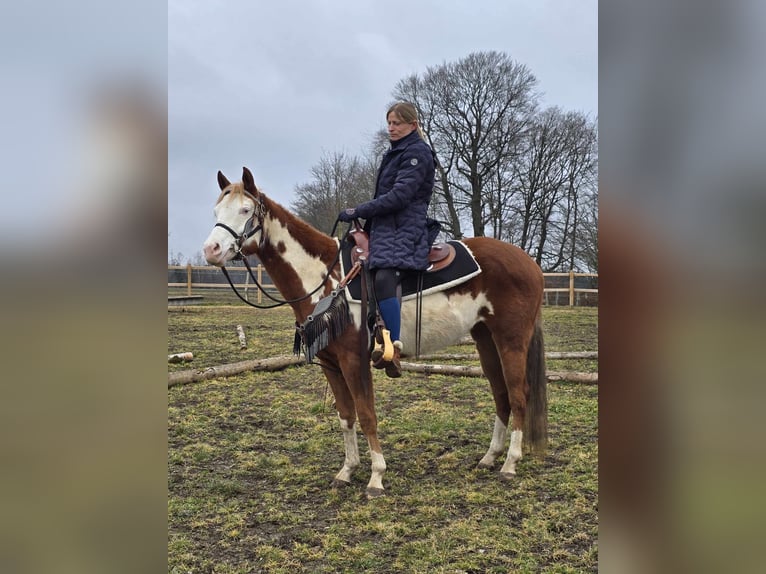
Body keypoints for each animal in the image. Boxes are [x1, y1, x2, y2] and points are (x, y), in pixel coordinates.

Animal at [201, 166, 548, 500]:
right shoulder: (331, 364)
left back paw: (510, 463)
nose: (211, 250)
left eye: (246, 209)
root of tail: (529, 262)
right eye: (216, 210)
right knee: (501, 393)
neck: (327, 278)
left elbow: (367, 414)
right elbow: (346, 416)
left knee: (518, 393)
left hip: (511, 339)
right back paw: (490, 457)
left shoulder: (354, 360)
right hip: (485, 339)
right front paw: (347, 471)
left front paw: (376, 477)